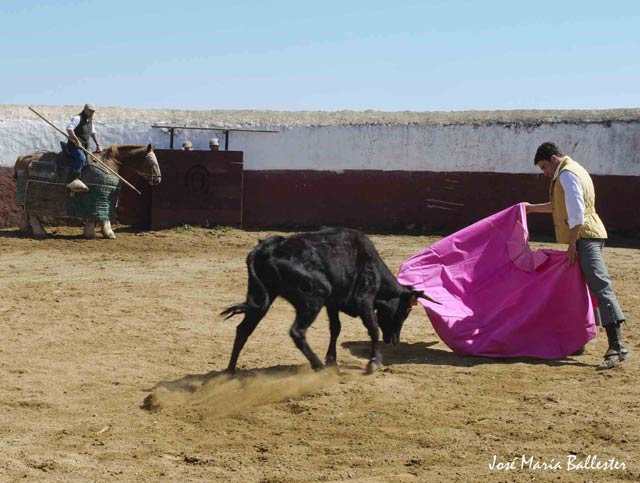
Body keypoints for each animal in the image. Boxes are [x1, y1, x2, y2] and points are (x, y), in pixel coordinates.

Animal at [14, 145, 161, 241]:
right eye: (151, 162)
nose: (158, 179)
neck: (109, 163)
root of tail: (23, 158)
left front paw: (100, 232)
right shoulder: (101, 194)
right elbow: (102, 214)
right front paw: (102, 233)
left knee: (25, 210)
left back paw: (26, 229)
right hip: (31, 193)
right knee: (32, 213)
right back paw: (40, 232)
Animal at [222, 229, 438, 376]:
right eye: (407, 309)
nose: (395, 341)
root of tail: (267, 247)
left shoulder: (333, 304)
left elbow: (335, 328)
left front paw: (331, 360)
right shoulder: (364, 300)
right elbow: (373, 328)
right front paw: (373, 363)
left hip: (261, 298)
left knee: (243, 329)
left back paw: (230, 371)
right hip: (315, 296)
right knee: (297, 332)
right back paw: (318, 366)